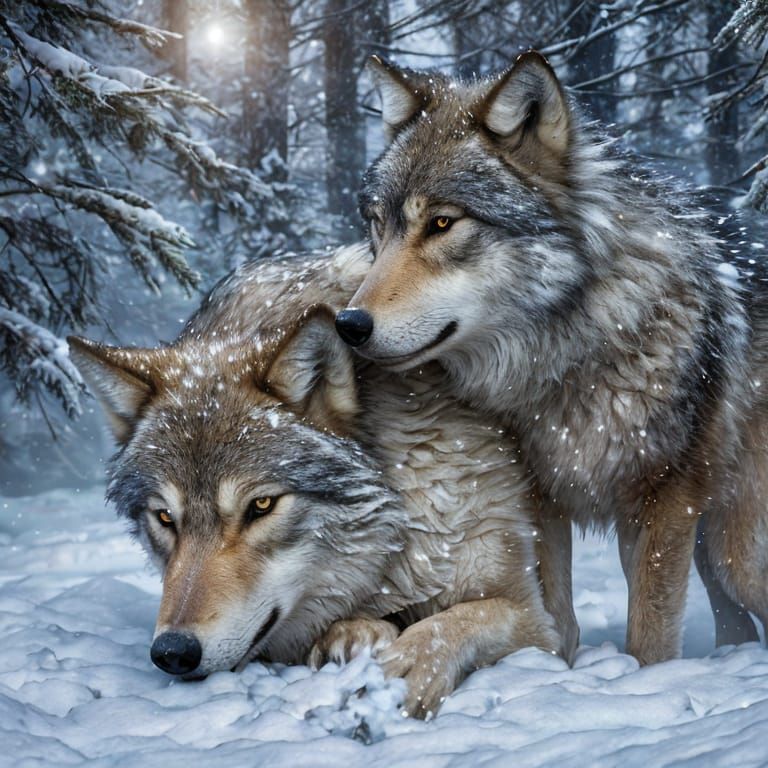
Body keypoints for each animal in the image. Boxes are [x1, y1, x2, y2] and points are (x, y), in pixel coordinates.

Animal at [67, 244, 559, 719]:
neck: (395, 538)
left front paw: (400, 673)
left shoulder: (537, 622)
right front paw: (355, 635)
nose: (173, 652)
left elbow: (457, 622)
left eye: (261, 506)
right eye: (165, 517)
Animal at [334, 51, 768, 665]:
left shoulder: (665, 496)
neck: (570, 354)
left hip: (738, 551)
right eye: (378, 224)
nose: (348, 325)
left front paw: (645, 676)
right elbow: (556, 613)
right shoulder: (540, 497)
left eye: (442, 223)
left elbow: (651, 633)